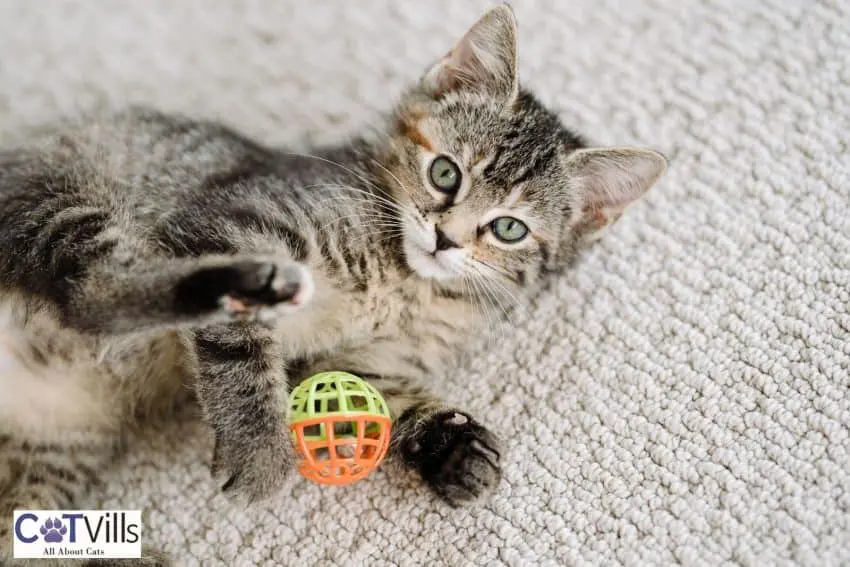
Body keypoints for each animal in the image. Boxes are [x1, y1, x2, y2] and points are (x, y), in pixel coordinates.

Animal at [0, 5, 664, 567]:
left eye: (507, 228)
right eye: (444, 173)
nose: (444, 239)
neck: (407, 283)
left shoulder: (364, 361)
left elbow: (386, 403)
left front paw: (454, 447)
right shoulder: (230, 222)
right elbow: (241, 348)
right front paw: (259, 449)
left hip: (59, 443)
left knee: (21, 533)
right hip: (64, 202)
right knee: (90, 293)